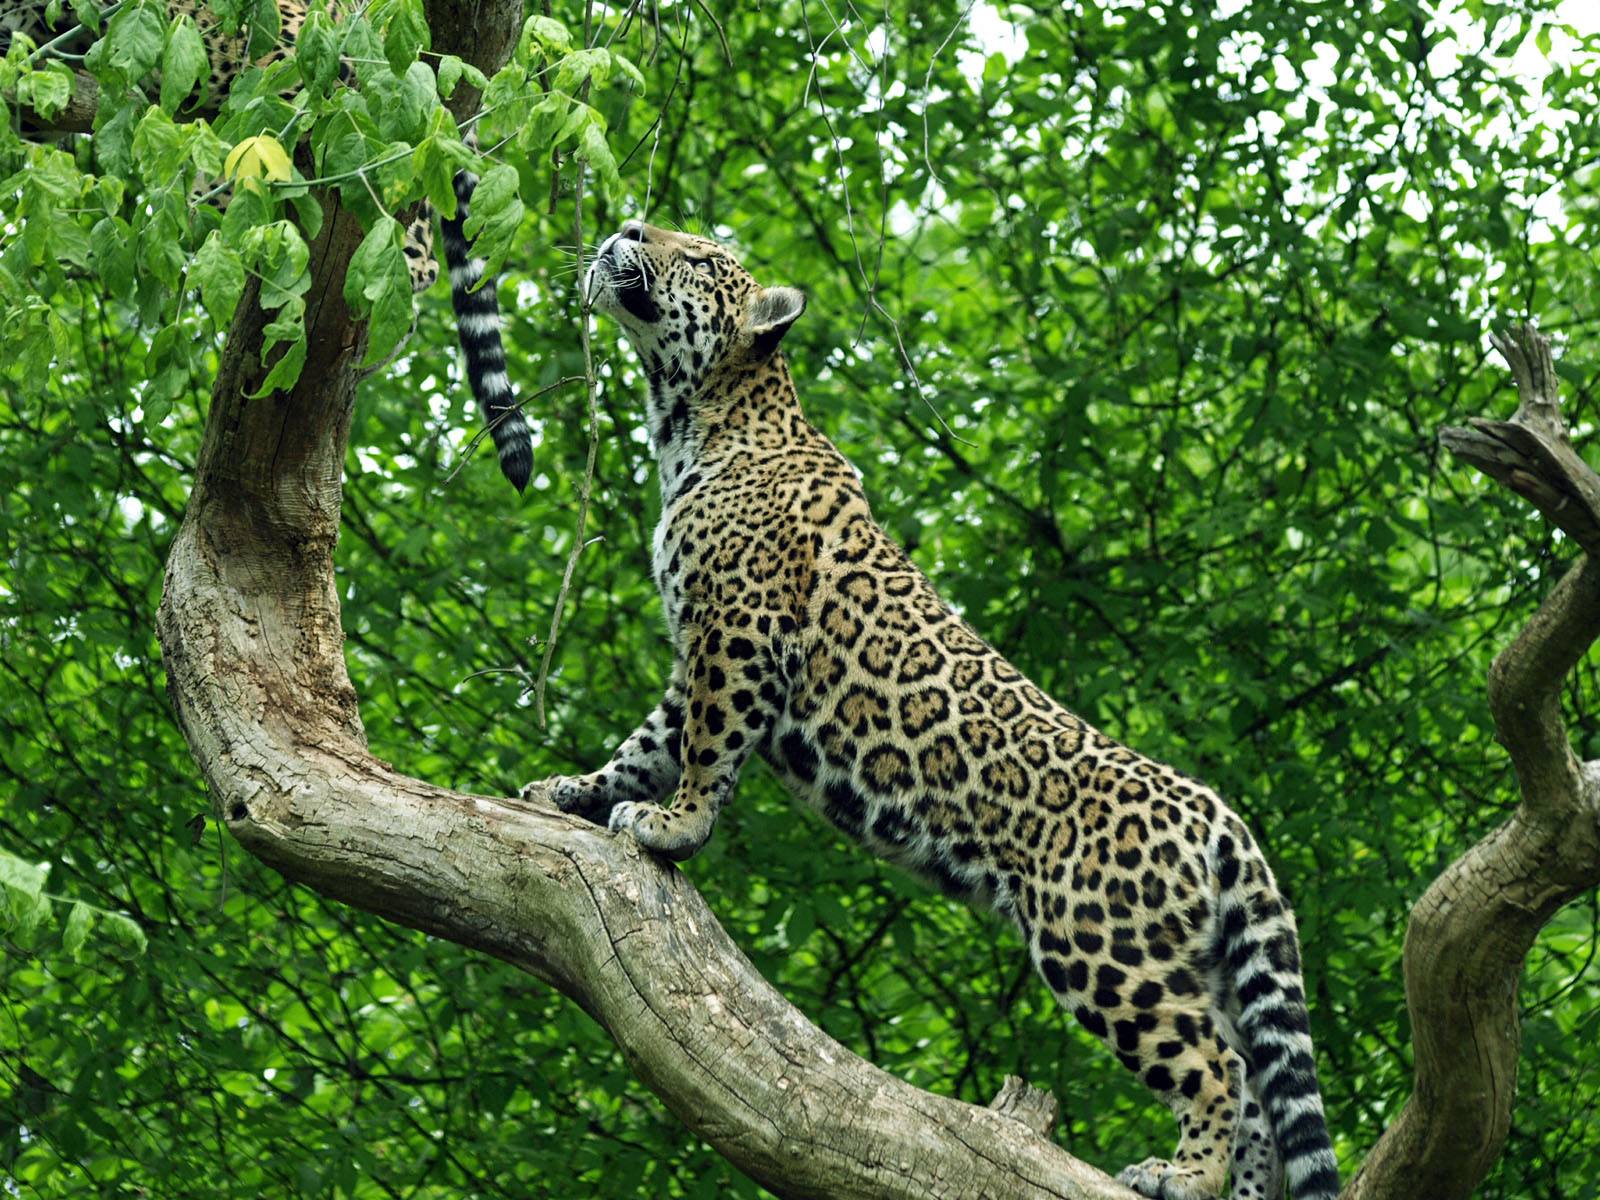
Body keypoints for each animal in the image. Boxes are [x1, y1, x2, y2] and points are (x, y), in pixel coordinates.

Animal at [537, 220, 1342, 1200]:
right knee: (1260, 1085)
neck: (691, 421)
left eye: (697, 256)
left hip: (1101, 947)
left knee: (1216, 1064)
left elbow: (706, 746)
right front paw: (573, 790)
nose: (625, 227)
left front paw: (673, 827)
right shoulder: (696, 650)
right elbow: (649, 741)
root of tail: (1221, 816)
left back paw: (1180, 1175)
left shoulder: (739, 633)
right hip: (1202, 958)